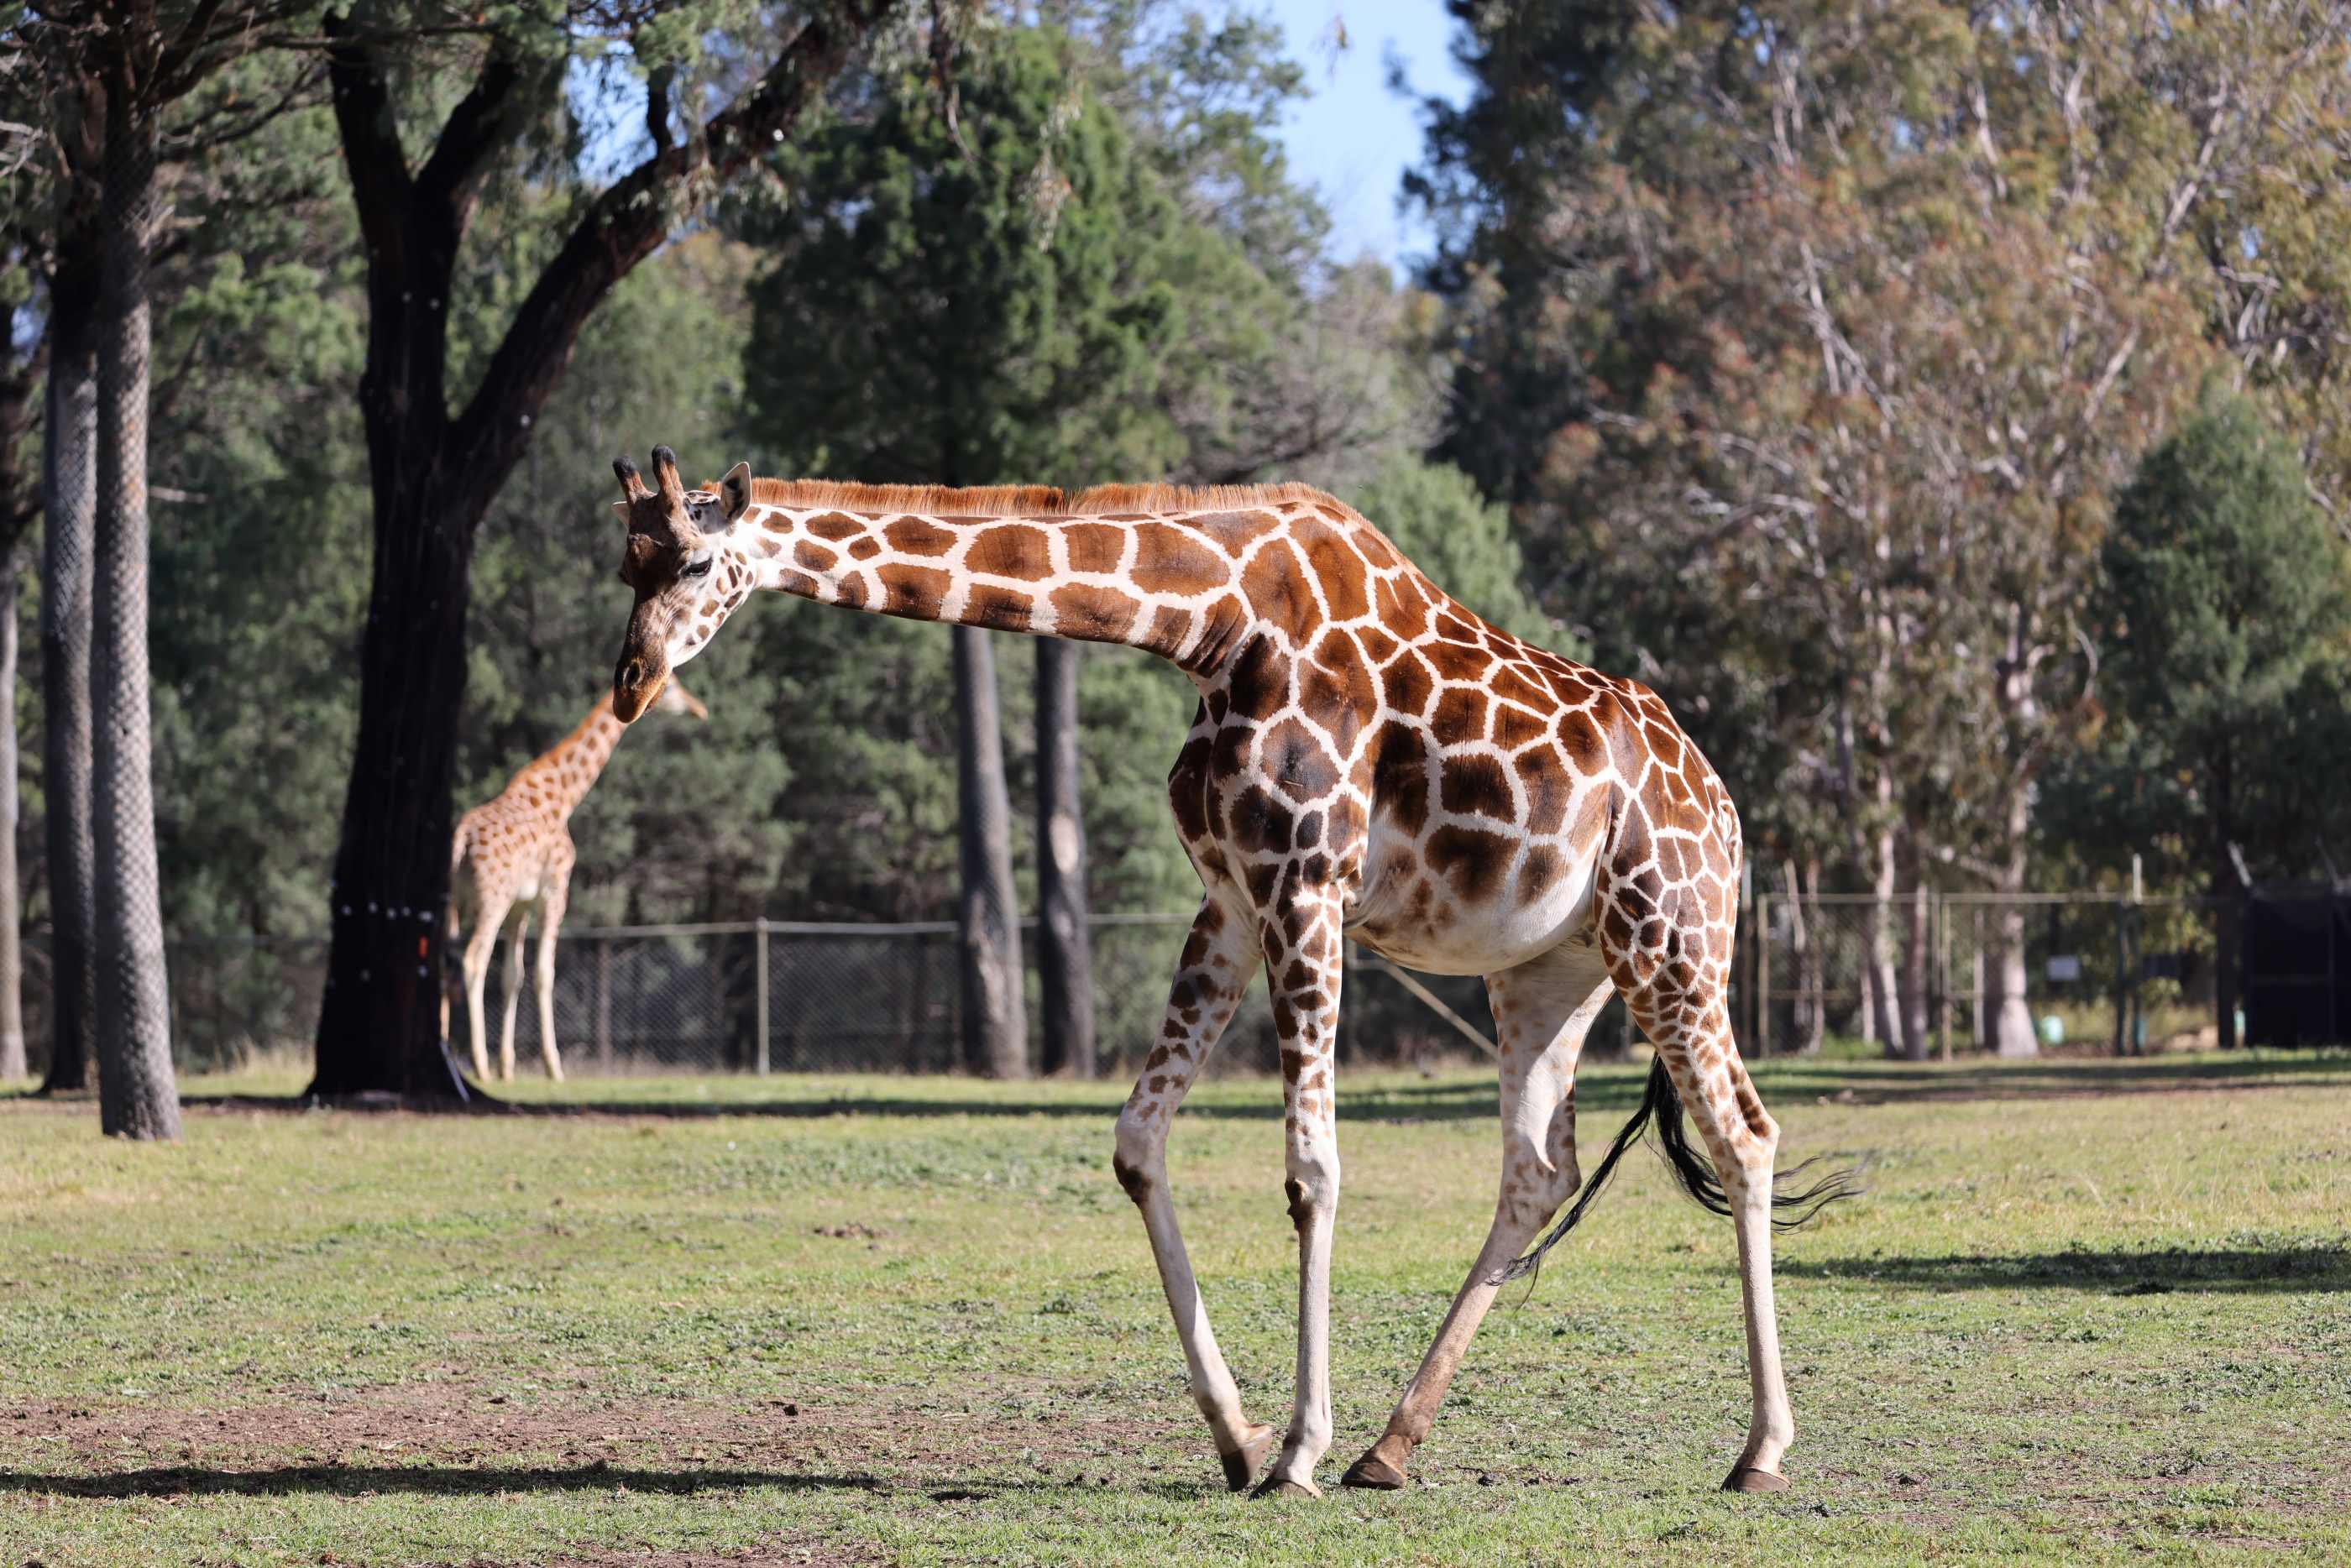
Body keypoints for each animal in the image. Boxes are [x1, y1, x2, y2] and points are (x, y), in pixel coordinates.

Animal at [445, 678, 707, 1082]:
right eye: (674, 686)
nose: (699, 709)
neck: (563, 796)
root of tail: (461, 841)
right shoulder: (555, 890)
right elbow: (543, 973)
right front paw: (553, 1067)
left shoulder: (522, 902)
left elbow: (513, 976)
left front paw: (508, 1067)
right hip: (491, 899)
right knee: (473, 962)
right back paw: (479, 1066)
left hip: (452, 900)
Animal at [605, 447, 1854, 1496]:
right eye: (626, 561)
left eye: (700, 560)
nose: (629, 680)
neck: (1211, 620)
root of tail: (1727, 811)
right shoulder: (1232, 901)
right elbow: (1137, 1141)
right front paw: (1242, 1437)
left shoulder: (1306, 883)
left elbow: (1311, 1170)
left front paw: (1295, 1450)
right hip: (1551, 973)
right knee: (1538, 1172)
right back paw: (1393, 1448)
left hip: (1671, 938)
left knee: (1744, 1134)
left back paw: (1759, 1451)